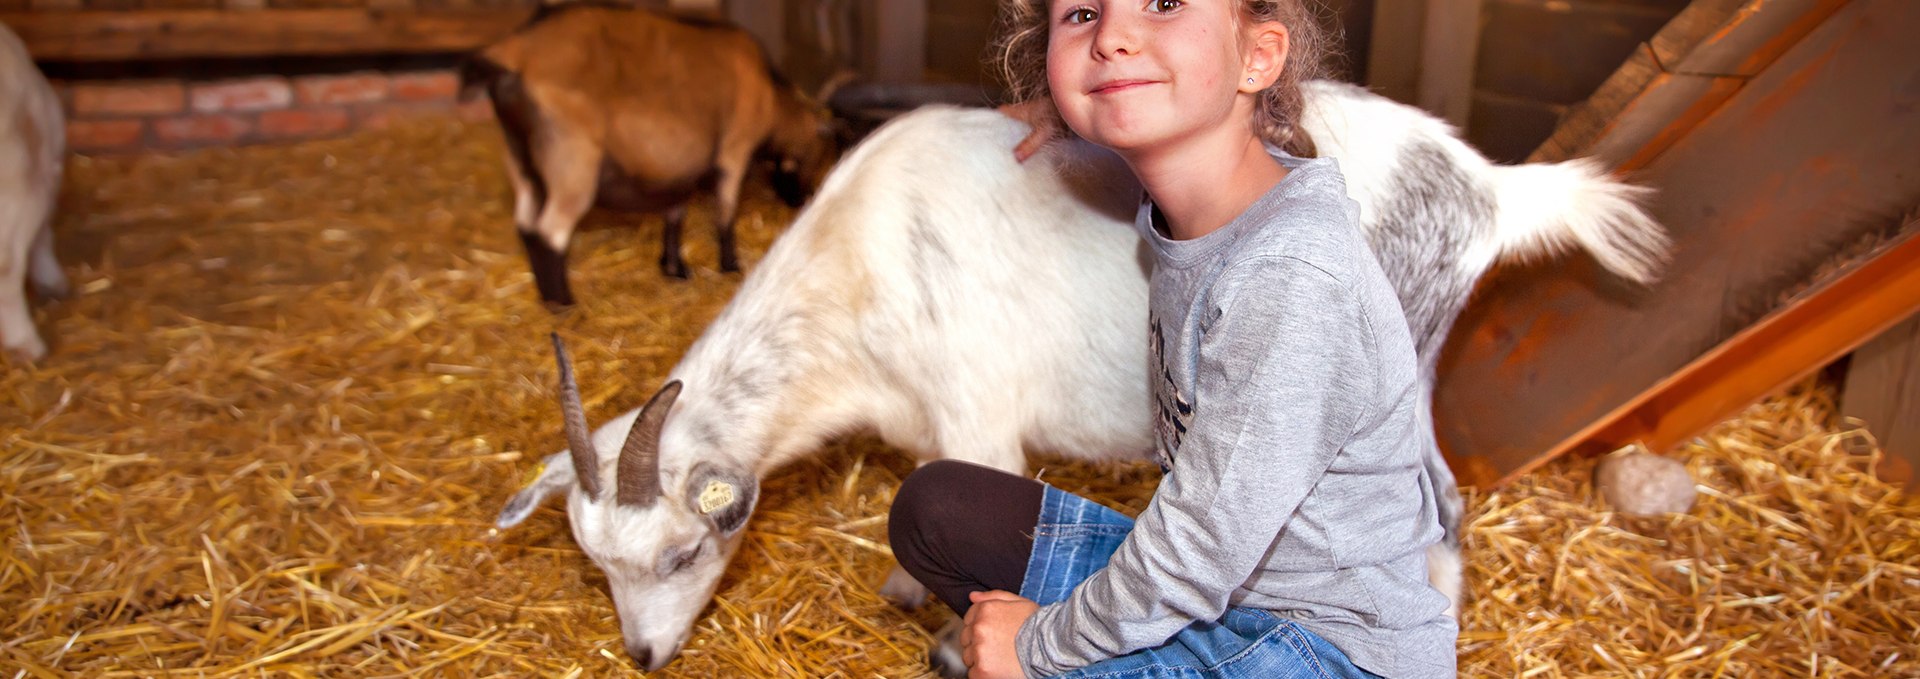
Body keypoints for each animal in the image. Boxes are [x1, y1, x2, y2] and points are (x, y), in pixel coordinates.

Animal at [462, 5, 833, 304]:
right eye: (815, 158)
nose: (802, 199)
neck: (772, 100)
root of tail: (514, 54)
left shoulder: (677, 168)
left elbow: (675, 213)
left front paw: (674, 267)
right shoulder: (733, 151)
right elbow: (725, 212)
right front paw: (730, 265)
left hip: (520, 159)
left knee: (526, 225)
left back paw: (547, 296)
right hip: (571, 161)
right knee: (550, 232)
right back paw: (564, 303)